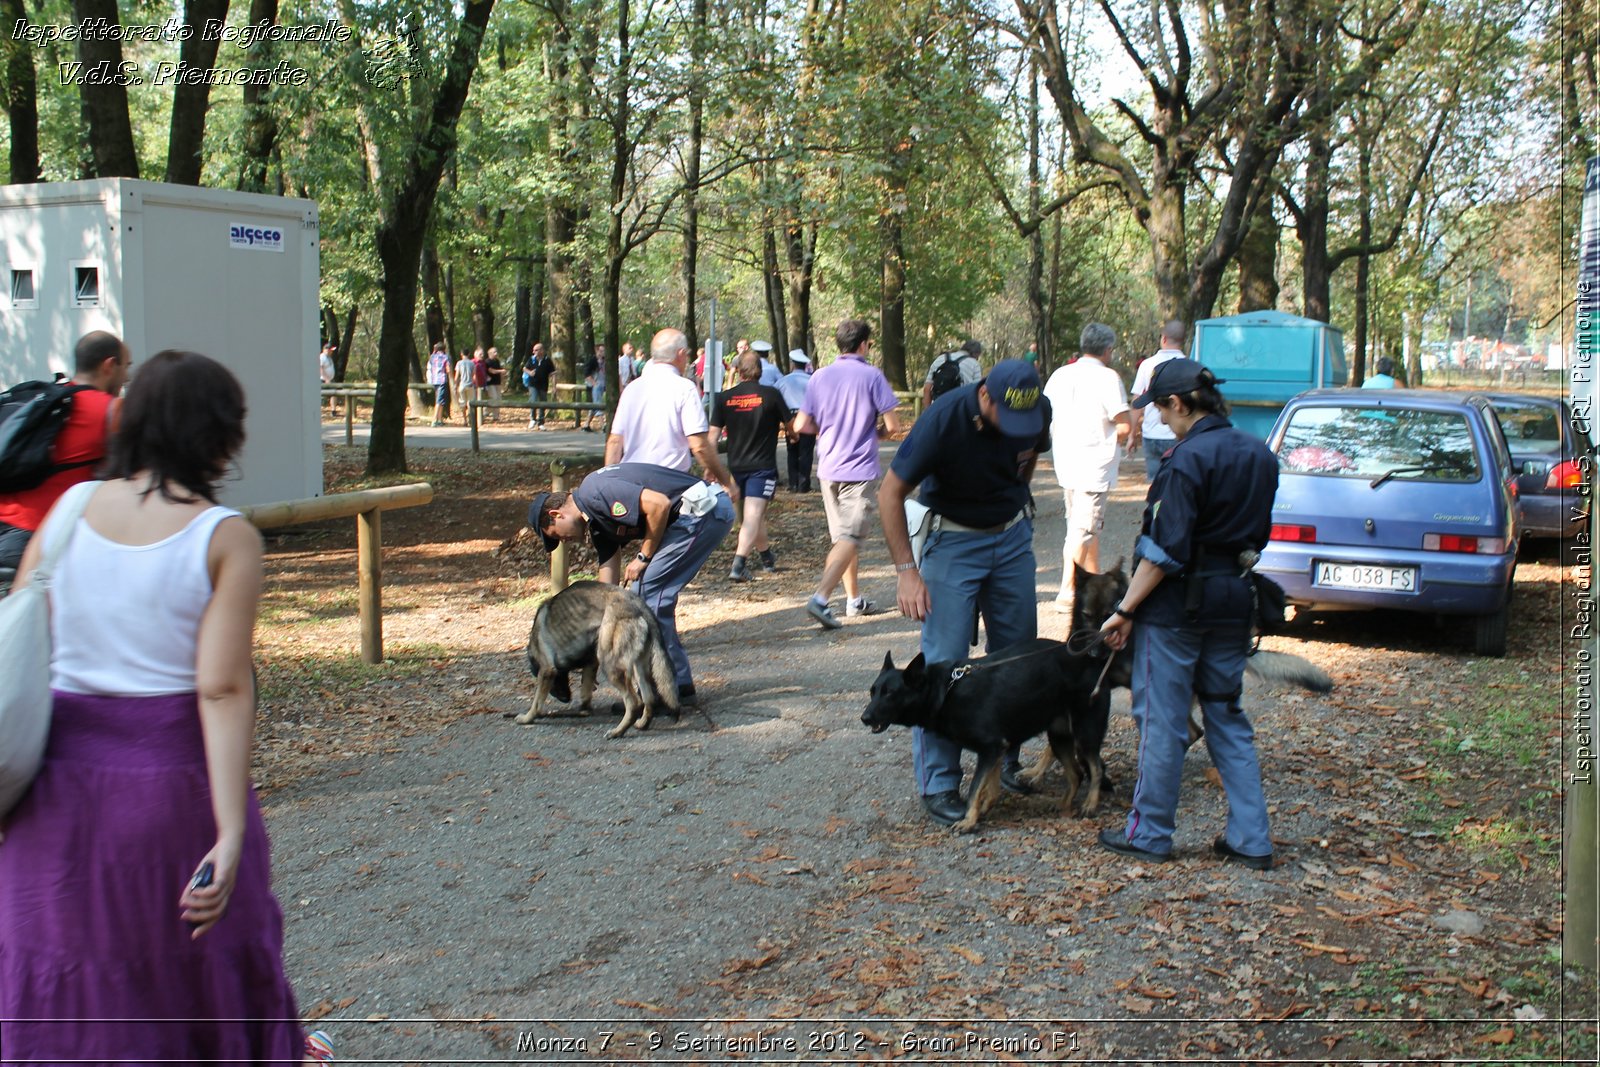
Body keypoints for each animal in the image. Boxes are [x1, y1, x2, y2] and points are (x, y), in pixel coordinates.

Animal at [515, 579, 678, 739]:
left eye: (558, 680)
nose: (567, 699)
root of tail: (639, 605)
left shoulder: (547, 670)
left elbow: (537, 702)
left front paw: (528, 718)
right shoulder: (591, 664)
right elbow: (585, 692)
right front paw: (584, 710)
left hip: (611, 668)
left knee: (634, 703)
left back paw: (618, 732)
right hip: (639, 669)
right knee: (649, 699)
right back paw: (642, 724)